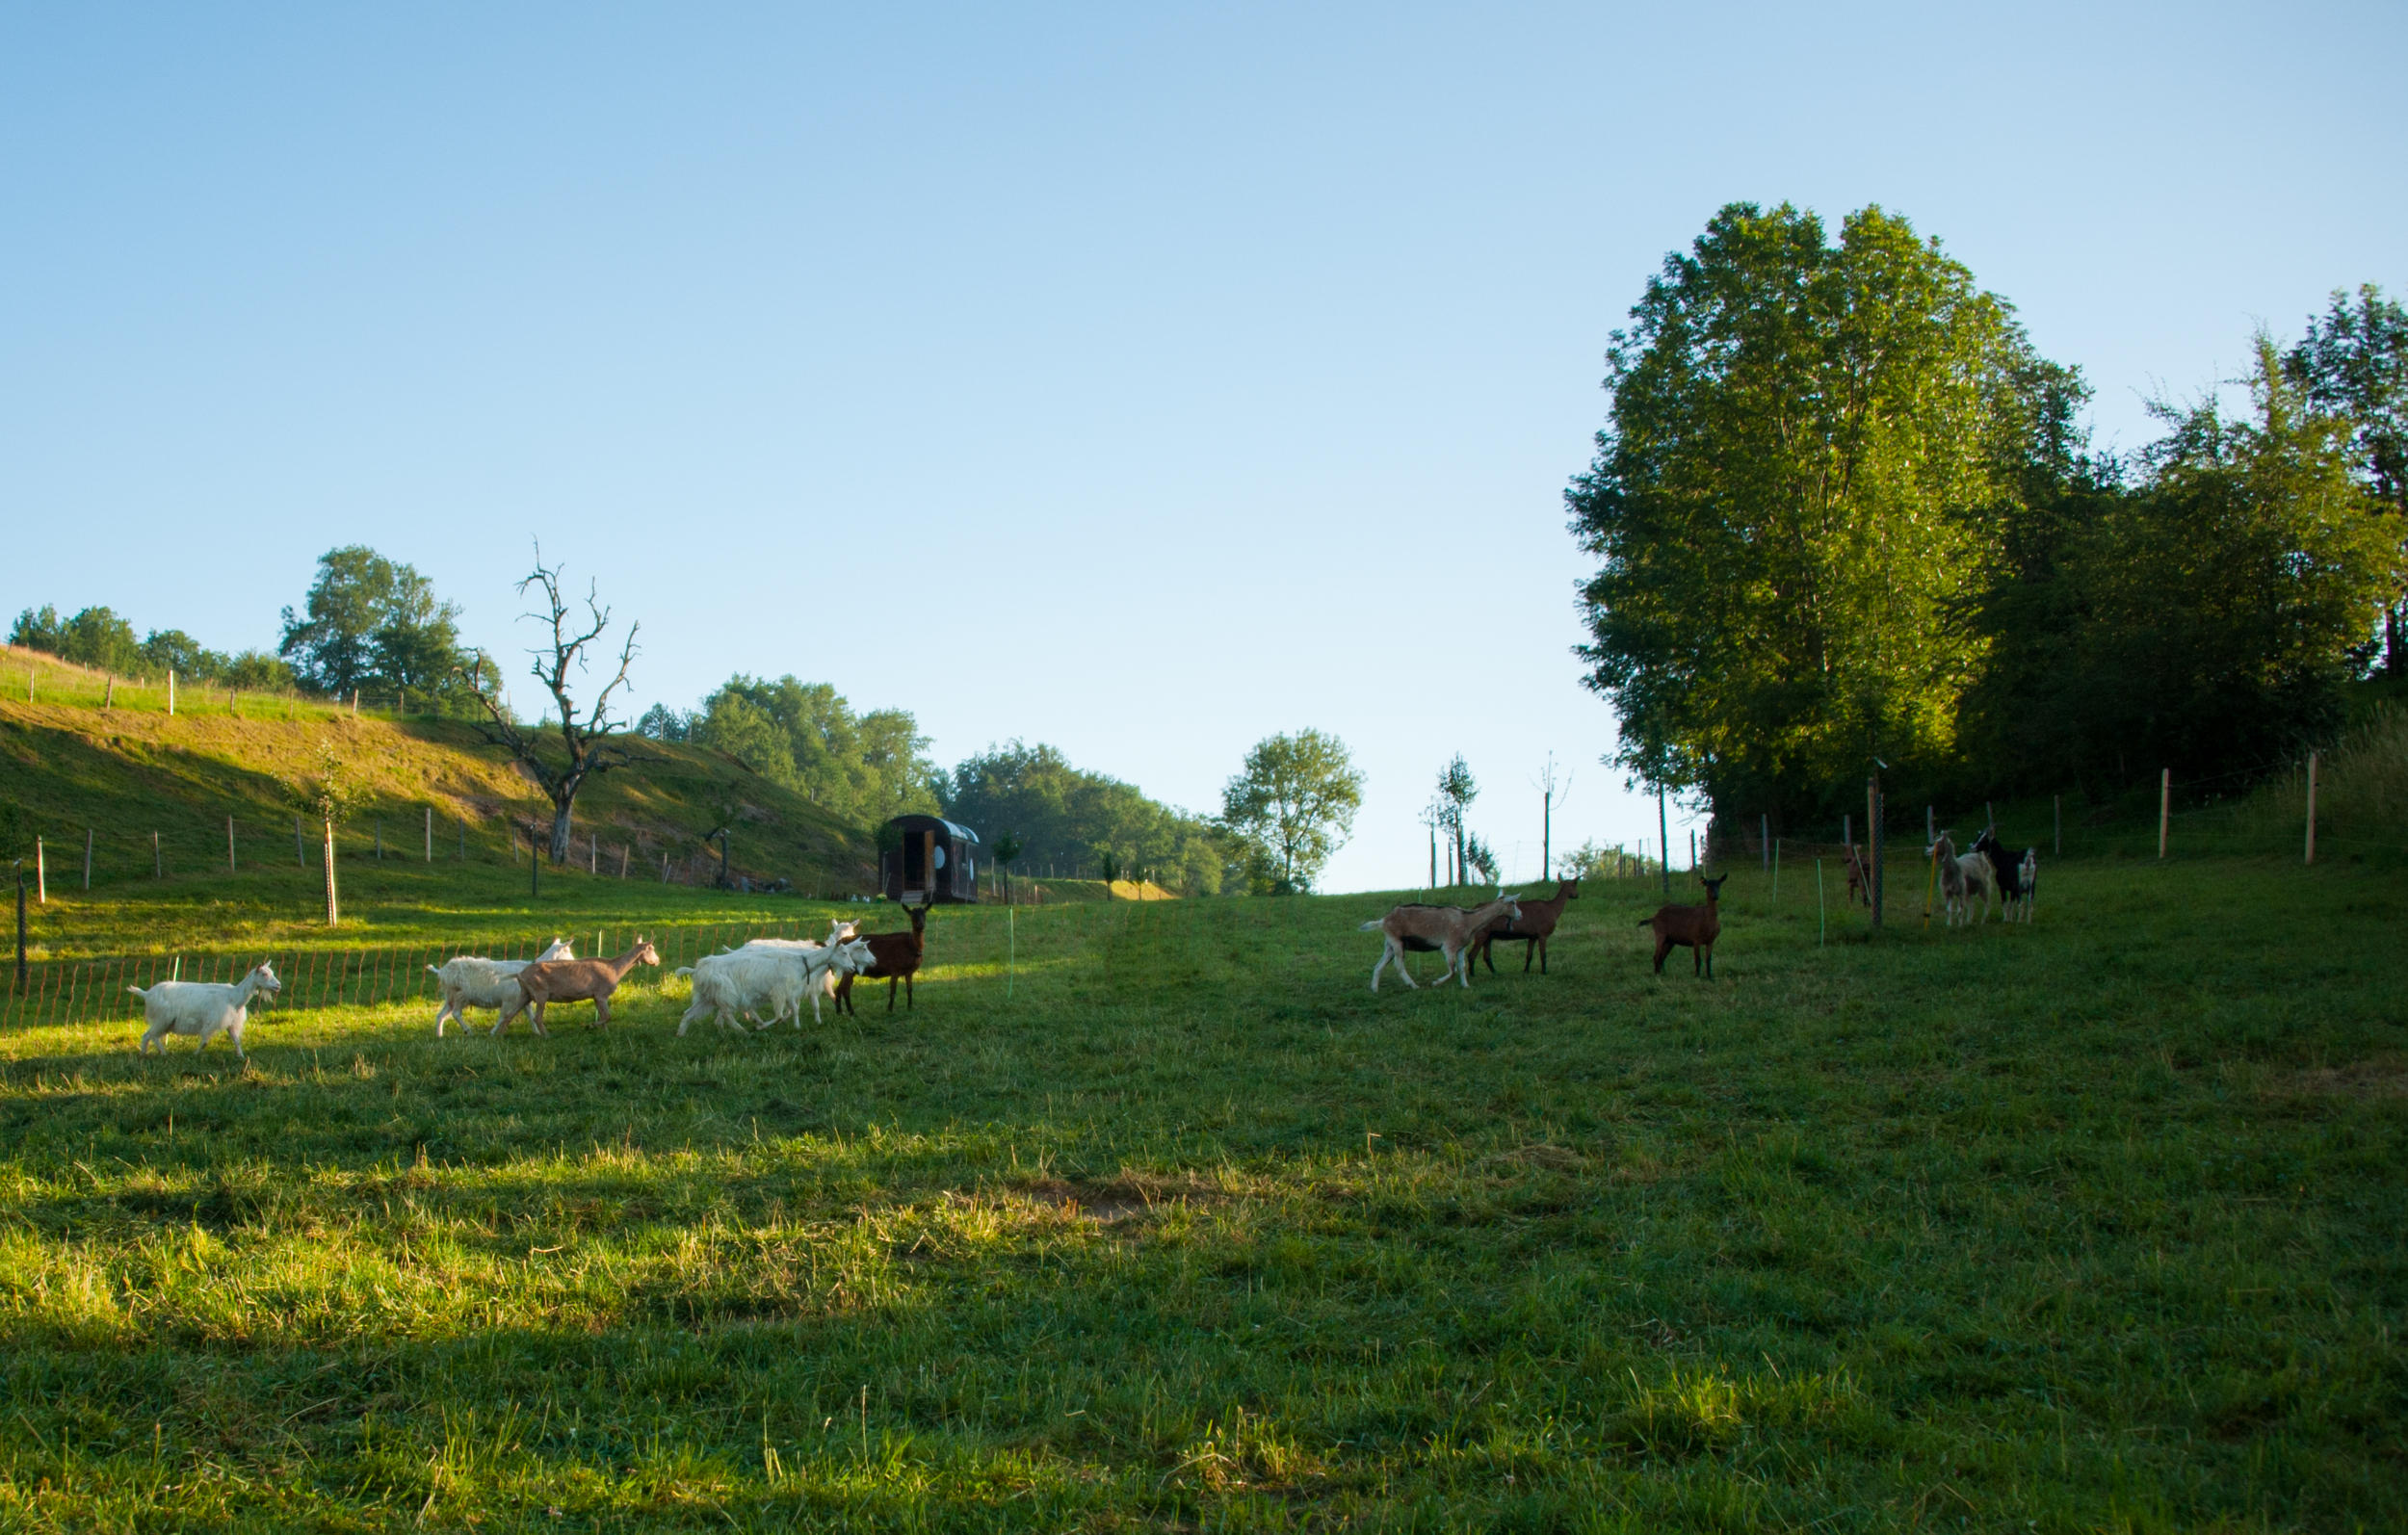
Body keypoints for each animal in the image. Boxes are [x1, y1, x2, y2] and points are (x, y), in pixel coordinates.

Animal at [128, 967, 279, 1063]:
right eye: (264, 974)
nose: (278, 986)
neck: (233, 997)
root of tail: (147, 993)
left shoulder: (231, 1023)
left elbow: (236, 1040)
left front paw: (241, 1056)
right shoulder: (212, 1021)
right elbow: (205, 1042)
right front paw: (195, 1054)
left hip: (166, 1021)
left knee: (152, 1036)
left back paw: (154, 1053)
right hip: (162, 1018)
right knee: (148, 1035)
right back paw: (151, 1054)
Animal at [493, 938, 660, 1034]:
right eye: (651, 949)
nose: (657, 961)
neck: (615, 968)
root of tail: (520, 974)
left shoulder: (596, 997)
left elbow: (605, 1016)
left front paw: (605, 1034)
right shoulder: (601, 994)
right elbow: (607, 1016)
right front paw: (590, 1026)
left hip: (525, 994)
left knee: (509, 1016)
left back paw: (500, 1036)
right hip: (541, 994)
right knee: (537, 1018)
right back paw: (547, 1036)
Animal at [1368, 890, 1512, 1001]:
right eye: (1513, 903)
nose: (1517, 916)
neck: (1467, 919)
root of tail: (1383, 920)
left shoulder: (1461, 947)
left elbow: (1461, 967)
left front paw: (1465, 986)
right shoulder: (1449, 947)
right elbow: (1453, 970)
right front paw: (1435, 983)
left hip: (1390, 945)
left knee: (1379, 965)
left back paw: (1374, 989)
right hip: (1397, 942)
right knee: (1398, 965)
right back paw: (1413, 986)